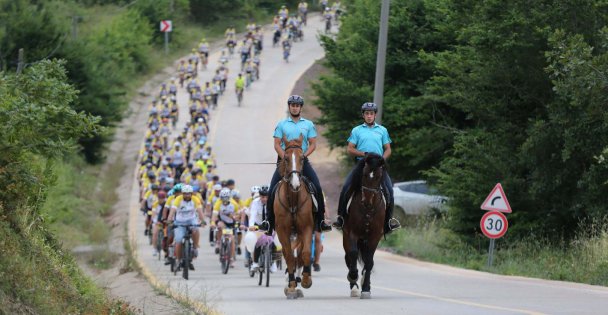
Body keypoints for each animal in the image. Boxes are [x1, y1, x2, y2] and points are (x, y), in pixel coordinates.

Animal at [274, 135, 316, 300]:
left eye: (302, 158)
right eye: (286, 158)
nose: (295, 184)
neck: (292, 199)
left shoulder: (307, 227)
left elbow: (305, 253)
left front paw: (306, 280)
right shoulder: (282, 231)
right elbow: (289, 257)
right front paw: (291, 286)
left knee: (300, 255)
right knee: (290, 255)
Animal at [342, 153, 384, 302]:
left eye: (378, 176)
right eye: (364, 174)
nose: (367, 200)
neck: (368, 209)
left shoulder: (375, 236)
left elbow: (369, 262)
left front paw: (366, 288)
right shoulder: (351, 233)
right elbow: (353, 254)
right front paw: (353, 277)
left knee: (367, 261)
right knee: (349, 257)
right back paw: (354, 286)